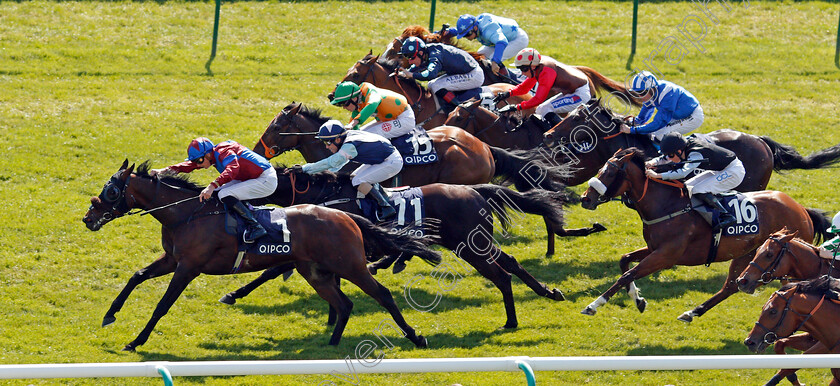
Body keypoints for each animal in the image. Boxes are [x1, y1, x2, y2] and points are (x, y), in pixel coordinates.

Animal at [83, 160, 440, 350]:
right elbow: (137, 277)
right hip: (315, 271)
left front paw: (136, 341)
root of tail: (346, 215)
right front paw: (110, 314)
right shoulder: (172, 260)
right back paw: (330, 344)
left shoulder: (188, 267)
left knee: (382, 295)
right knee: (344, 304)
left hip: (351, 265)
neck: (185, 214)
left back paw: (416, 337)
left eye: (111, 191)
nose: (88, 218)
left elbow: (162, 305)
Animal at [226, 169, 576, 328]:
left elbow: (271, 271)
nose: (227, 197)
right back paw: (549, 292)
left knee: (502, 275)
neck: (330, 197)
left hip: (470, 247)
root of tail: (473, 190)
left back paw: (511, 321)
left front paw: (234, 293)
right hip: (477, 242)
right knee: (513, 262)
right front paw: (333, 316)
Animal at [576, 149, 832, 322]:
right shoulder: (653, 249)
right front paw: (638, 299)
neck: (666, 205)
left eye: (609, 173)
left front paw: (593, 305)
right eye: (600, 170)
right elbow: (625, 261)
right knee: (732, 285)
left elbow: (626, 274)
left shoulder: (666, 256)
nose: (585, 199)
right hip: (750, 254)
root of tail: (802, 210)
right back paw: (692, 312)